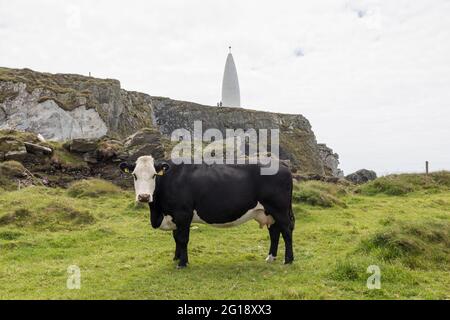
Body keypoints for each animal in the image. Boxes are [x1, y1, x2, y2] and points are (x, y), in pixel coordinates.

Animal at [119, 155, 296, 268]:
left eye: (154, 175)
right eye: (134, 175)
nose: (143, 196)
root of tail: (282, 164)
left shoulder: (183, 214)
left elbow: (182, 239)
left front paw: (182, 263)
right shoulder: (175, 216)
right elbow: (176, 238)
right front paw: (176, 258)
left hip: (279, 209)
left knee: (286, 231)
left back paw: (288, 260)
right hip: (268, 211)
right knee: (275, 232)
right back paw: (271, 257)